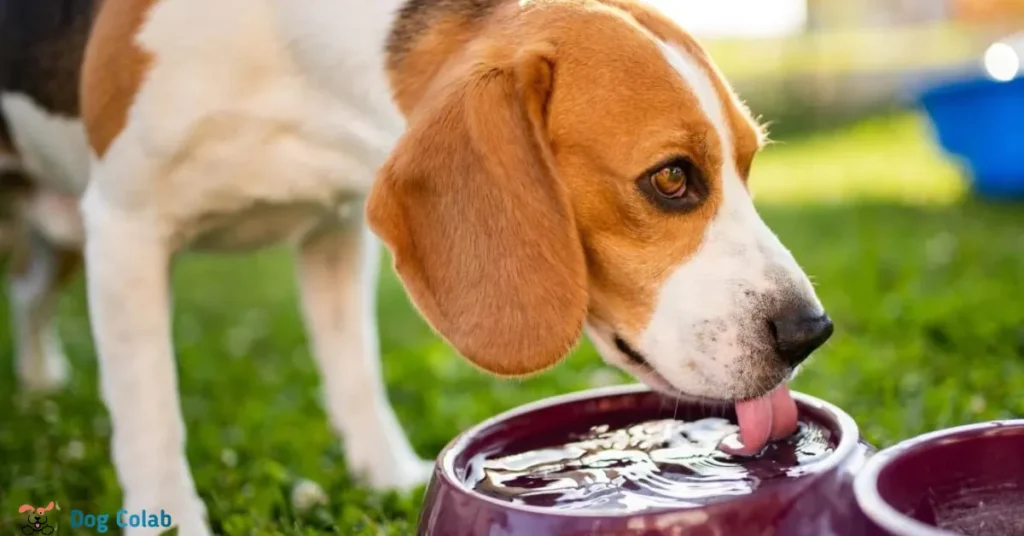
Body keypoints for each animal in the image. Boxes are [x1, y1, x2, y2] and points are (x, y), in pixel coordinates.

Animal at [0, 0, 831, 532]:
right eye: (671, 178)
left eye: (748, 164)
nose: (810, 332)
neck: (292, 60)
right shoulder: (126, 226)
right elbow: (149, 408)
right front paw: (170, 517)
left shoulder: (335, 229)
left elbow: (355, 371)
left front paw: (387, 474)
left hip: (61, 235)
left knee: (32, 295)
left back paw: (40, 380)